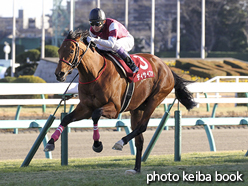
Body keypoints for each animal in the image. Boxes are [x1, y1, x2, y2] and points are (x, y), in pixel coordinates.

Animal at [43, 29, 197, 174]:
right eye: (59, 50)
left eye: (71, 50)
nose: (59, 74)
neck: (94, 74)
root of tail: (167, 68)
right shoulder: (85, 107)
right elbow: (66, 119)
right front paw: (50, 143)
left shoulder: (115, 108)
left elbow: (96, 114)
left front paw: (97, 144)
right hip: (137, 108)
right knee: (139, 138)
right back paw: (136, 169)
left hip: (155, 98)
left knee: (142, 127)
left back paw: (120, 142)